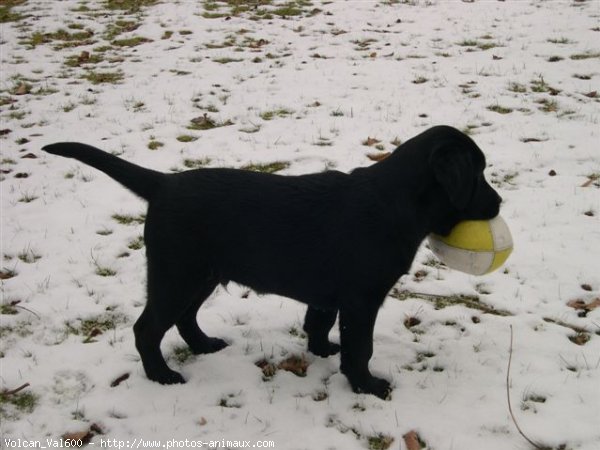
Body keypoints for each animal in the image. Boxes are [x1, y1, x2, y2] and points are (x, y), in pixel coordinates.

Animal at [42, 125, 502, 400]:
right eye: (478, 174)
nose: (499, 203)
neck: (396, 201)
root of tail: (163, 184)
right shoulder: (361, 300)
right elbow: (361, 347)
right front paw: (367, 385)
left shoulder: (329, 293)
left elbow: (318, 322)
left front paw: (321, 351)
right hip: (176, 274)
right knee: (147, 328)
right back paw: (162, 375)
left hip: (202, 275)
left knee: (186, 318)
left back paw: (204, 345)